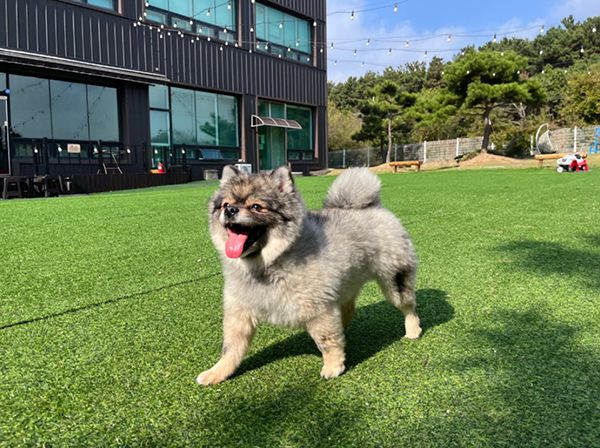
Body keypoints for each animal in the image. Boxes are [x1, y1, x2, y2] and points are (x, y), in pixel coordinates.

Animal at [197, 165, 421, 385]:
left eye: (256, 207)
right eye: (225, 204)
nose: (230, 210)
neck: (267, 264)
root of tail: (373, 207)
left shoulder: (319, 310)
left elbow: (327, 341)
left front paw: (333, 366)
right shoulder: (239, 313)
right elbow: (230, 349)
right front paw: (217, 373)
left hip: (394, 280)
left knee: (408, 307)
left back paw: (413, 330)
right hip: (346, 284)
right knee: (348, 308)